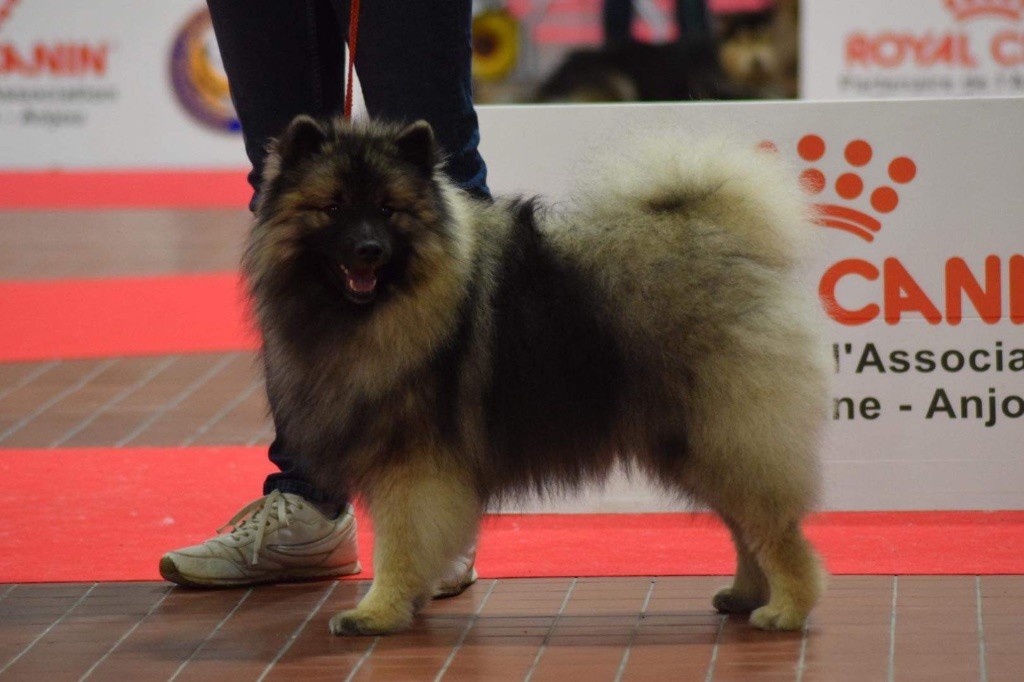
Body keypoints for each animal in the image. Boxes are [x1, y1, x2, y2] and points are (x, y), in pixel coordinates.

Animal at [243, 116, 829, 636]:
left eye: (388, 210)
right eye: (334, 208)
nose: (368, 249)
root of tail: (724, 242)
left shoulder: (412, 467)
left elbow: (399, 546)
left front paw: (377, 612)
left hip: (722, 434)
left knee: (775, 530)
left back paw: (787, 610)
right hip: (697, 441)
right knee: (745, 526)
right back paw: (747, 594)